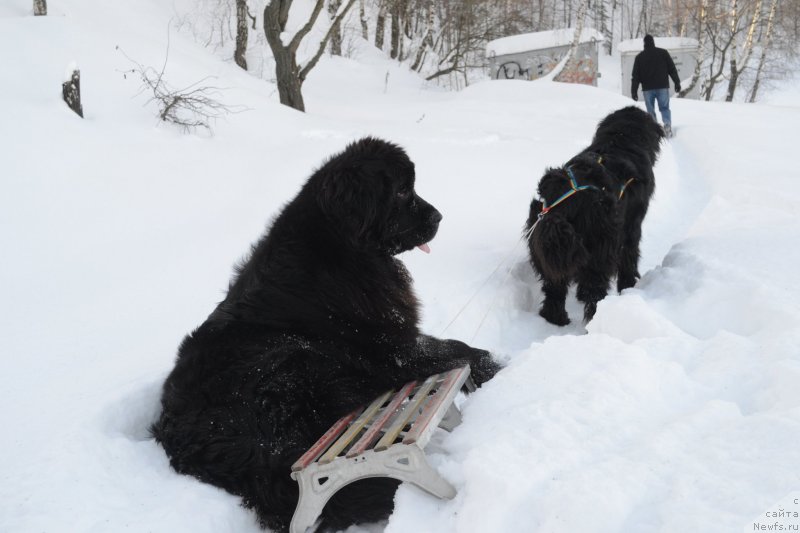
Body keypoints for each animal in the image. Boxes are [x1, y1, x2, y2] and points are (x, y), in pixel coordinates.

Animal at [151, 136, 500, 528]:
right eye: (401, 191)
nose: (439, 216)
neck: (343, 247)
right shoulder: (392, 349)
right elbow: (459, 348)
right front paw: (498, 369)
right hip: (292, 357)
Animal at [520, 105, 664, 324]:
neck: (620, 138)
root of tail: (568, 204)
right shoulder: (632, 226)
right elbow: (629, 257)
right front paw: (628, 285)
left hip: (543, 237)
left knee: (554, 286)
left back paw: (556, 318)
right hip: (602, 245)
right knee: (593, 291)